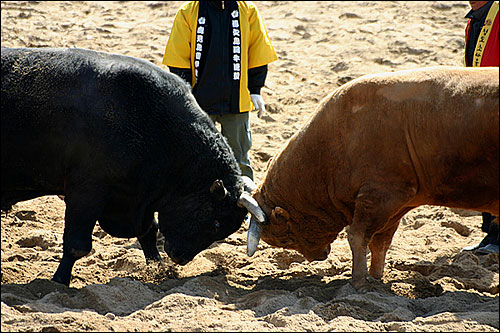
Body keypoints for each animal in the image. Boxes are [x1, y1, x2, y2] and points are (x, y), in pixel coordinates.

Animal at [0, 46, 264, 286]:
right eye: (216, 221)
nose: (181, 257)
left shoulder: (138, 202)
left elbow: (148, 232)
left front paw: (158, 268)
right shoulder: (86, 191)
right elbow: (77, 245)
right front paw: (59, 280)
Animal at [248, 66, 498, 290]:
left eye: (285, 239)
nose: (318, 256)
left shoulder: (382, 194)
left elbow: (358, 236)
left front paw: (358, 282)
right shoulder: (397, 203)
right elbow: (381, 241)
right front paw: (376, 277)